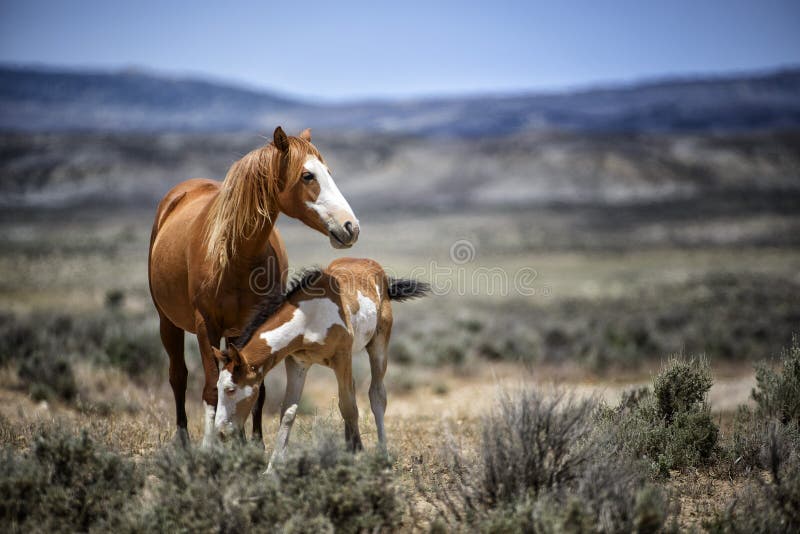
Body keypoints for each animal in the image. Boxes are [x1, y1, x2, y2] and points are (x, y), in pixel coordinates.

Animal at [149, 129, 360, 448]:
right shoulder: (205, 326)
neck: (236, 255)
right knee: (178, 377)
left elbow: (256, 387)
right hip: (167, 323)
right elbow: (211, 387)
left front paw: (254, 445)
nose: (351, 227)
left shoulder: (252, 322)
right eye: (308, 175)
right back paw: (183, 441)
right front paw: (209, 446)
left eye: (329, 173)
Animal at [209, 258, 428, 464]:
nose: (221, 432)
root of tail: (378, 271)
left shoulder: (342, 358)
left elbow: (349, 407)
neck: (309, 318)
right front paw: (273, 467)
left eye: (230, 389)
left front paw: (357, 456)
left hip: (378, 346)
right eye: (217, 387)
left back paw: (381, 453)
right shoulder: (297, 363)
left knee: (376, 394)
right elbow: (288, 412)